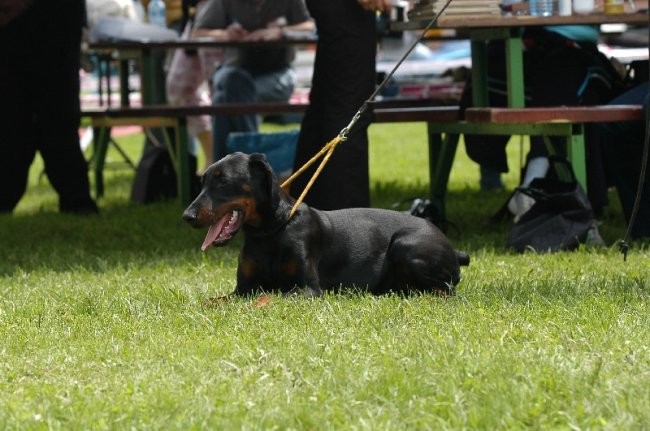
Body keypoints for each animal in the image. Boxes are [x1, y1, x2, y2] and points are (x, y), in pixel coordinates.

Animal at [180, 154, 468, 298]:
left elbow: (270, 296)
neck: (270, 232)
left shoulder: (307, 288)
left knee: (447, 290)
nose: (187, 216)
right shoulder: (243, 289)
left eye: (223, 180)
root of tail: (455, 250)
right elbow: (215, 301)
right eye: (203, 181)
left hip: (406, 246)